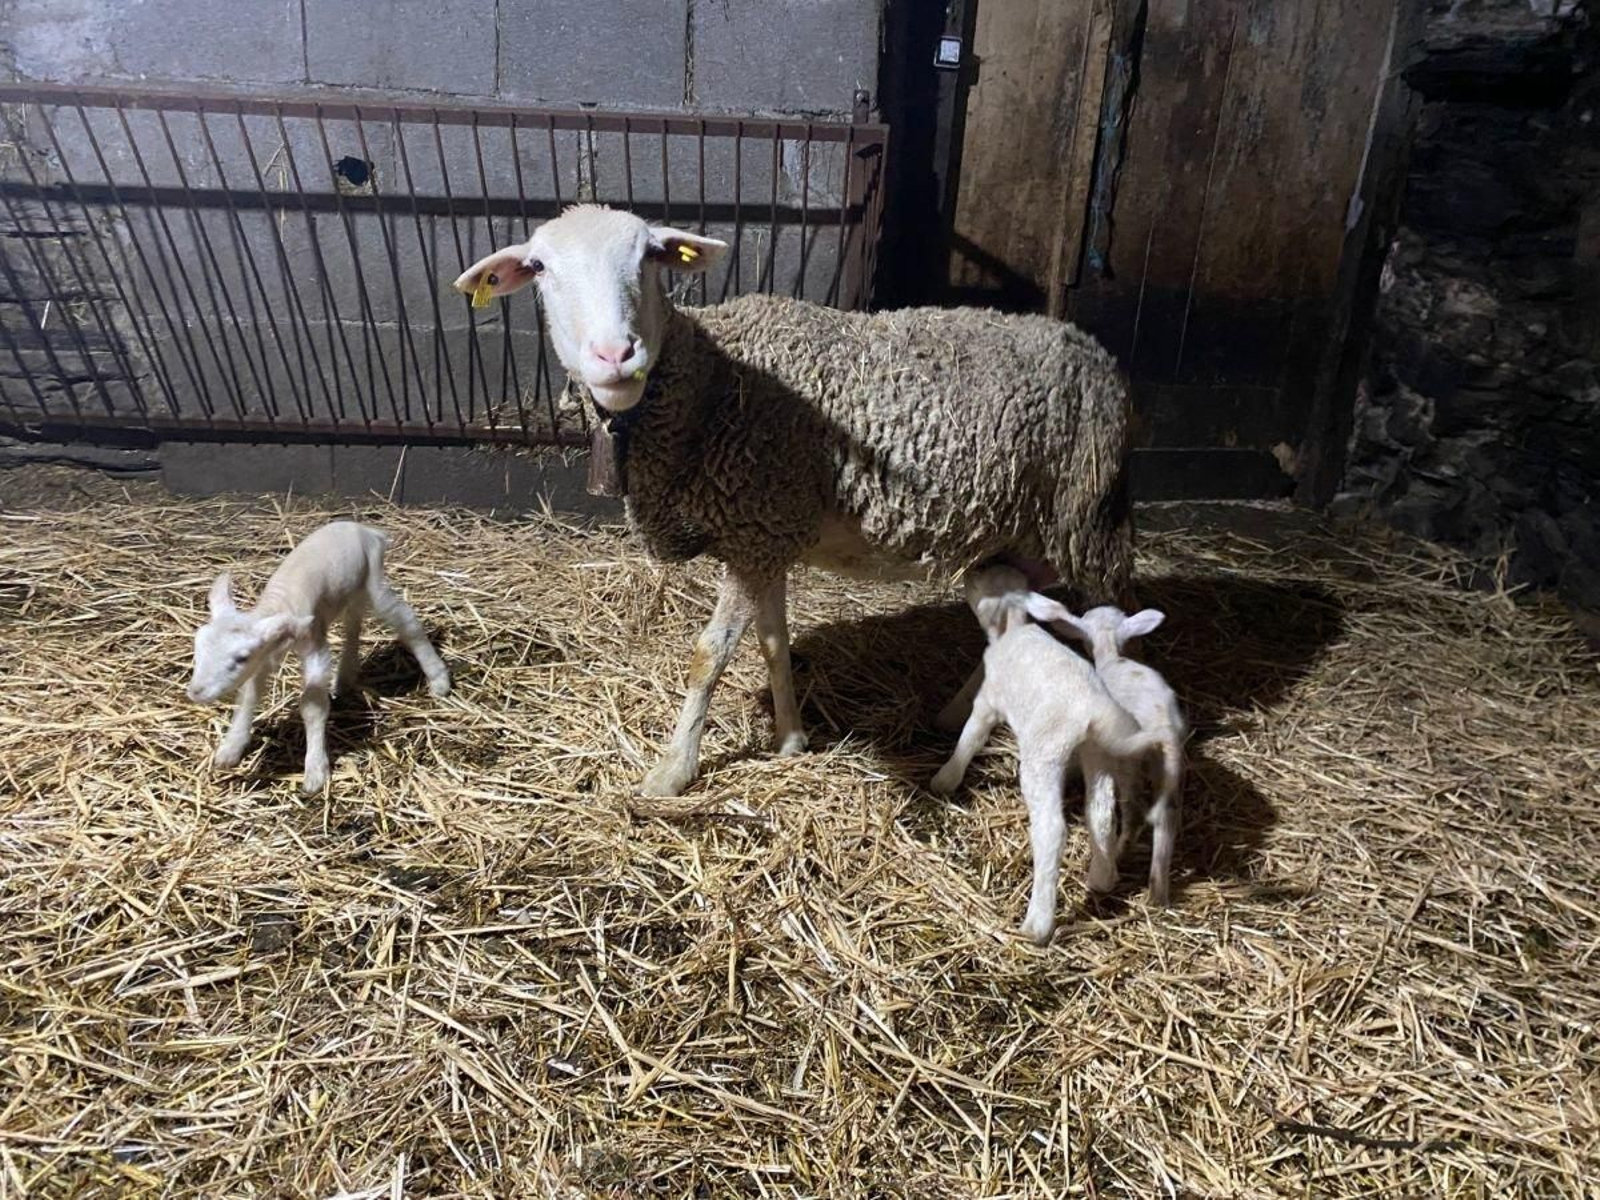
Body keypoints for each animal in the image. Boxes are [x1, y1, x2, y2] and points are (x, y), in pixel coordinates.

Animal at [186, 520, 450, 794]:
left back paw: (438, 679)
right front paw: (231, 748)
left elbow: (312, 705)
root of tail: (367, 529)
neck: (279, 603)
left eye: (240, 659)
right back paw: (344, 679)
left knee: (405, 621)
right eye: (198, 646)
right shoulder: (266, 653)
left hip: (374, 576)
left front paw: (315, 771)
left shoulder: (313, 646)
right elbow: (249, 695)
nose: (196, 692)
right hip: (351, 587)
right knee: (353, 624)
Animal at [453, 203, 1133, 798]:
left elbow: (709, 655)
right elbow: (773, 641)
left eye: (650, 256)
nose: (615, 355)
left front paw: (673, 771)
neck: (713, 384)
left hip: (1089, 524)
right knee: (1012, 626)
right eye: (539, 267)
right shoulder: (765, 534)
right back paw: (953, 714)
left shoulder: (755, 530)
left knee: (1110, 630)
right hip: (1009, 540)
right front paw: (790, 739)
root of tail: (1091, 344)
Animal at [929, 566, 1170, 944]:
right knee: (1101, 812)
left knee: (1052, 830)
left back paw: (1037, 924)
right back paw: (1102, 877)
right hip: (1098, 752)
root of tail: (1093, 708)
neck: (1014, 627)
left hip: (1045, 755)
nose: (969, 573)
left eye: (981, 584)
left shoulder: (988, 700)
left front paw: (945, 779)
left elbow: (970, 739)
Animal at [1054, 605, 1188, 906]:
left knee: (1134, 810)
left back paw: (1119, 854)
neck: (1111, 658)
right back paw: (1158, 893)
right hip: (1168, 766)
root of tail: (1164, 725)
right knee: (1168, 815)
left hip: (1128, 760)